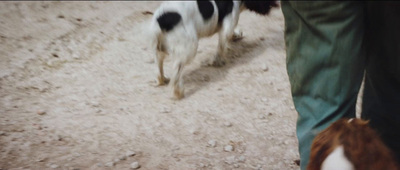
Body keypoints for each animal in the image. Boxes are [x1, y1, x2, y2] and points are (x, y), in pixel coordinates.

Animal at [148, 0, 276, 99]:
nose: (276, 4)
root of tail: (160, 20)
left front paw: (236, 35)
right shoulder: (228, 24)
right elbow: (222, 45)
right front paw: (218, 61)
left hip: (160, 48)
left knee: (159, 65)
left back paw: (162, 79)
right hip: (190, 46)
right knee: (177, 70)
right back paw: (178, 91)